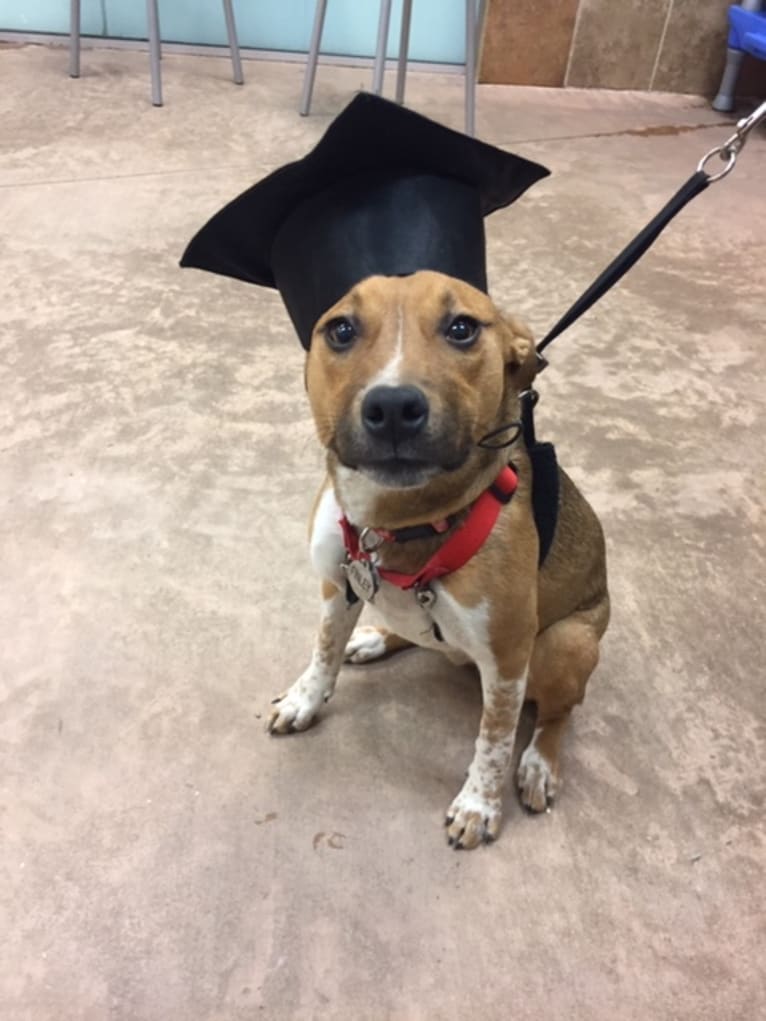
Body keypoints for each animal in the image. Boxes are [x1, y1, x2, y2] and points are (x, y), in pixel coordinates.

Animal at [267, 269, 608, 845]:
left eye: (462, 328)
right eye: (341, 329)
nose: (393, 408)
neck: (396, 525)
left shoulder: (508, 654)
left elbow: (494, 738)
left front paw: (478, 804)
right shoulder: (336, 588)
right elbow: (323, 651)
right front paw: (305, 699)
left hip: (565, 643)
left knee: (558, 713)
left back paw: (539, 763)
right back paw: (376, 639)